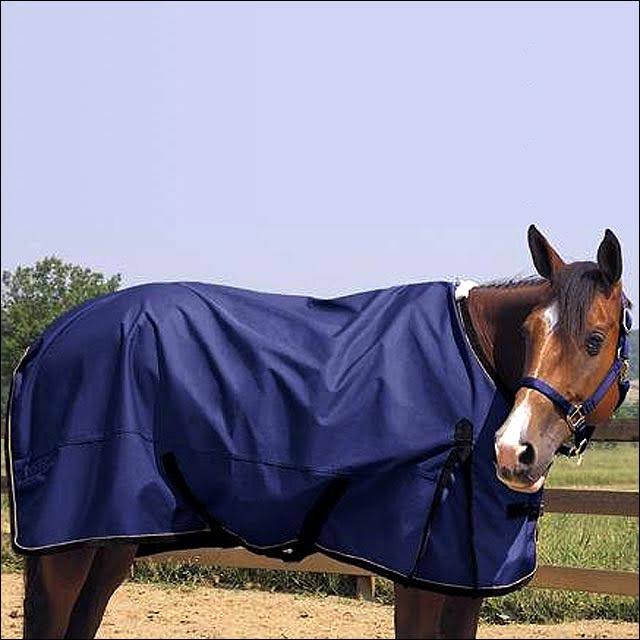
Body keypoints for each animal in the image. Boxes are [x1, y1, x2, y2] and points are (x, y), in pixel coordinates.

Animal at [5, 225, 631, 639]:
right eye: (528, 333)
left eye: (593, 340)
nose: (513, 450)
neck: (470, 358)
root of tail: (45, 344)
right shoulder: (419, 574)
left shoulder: (463, 582)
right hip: (68, 547)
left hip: (112, 539)